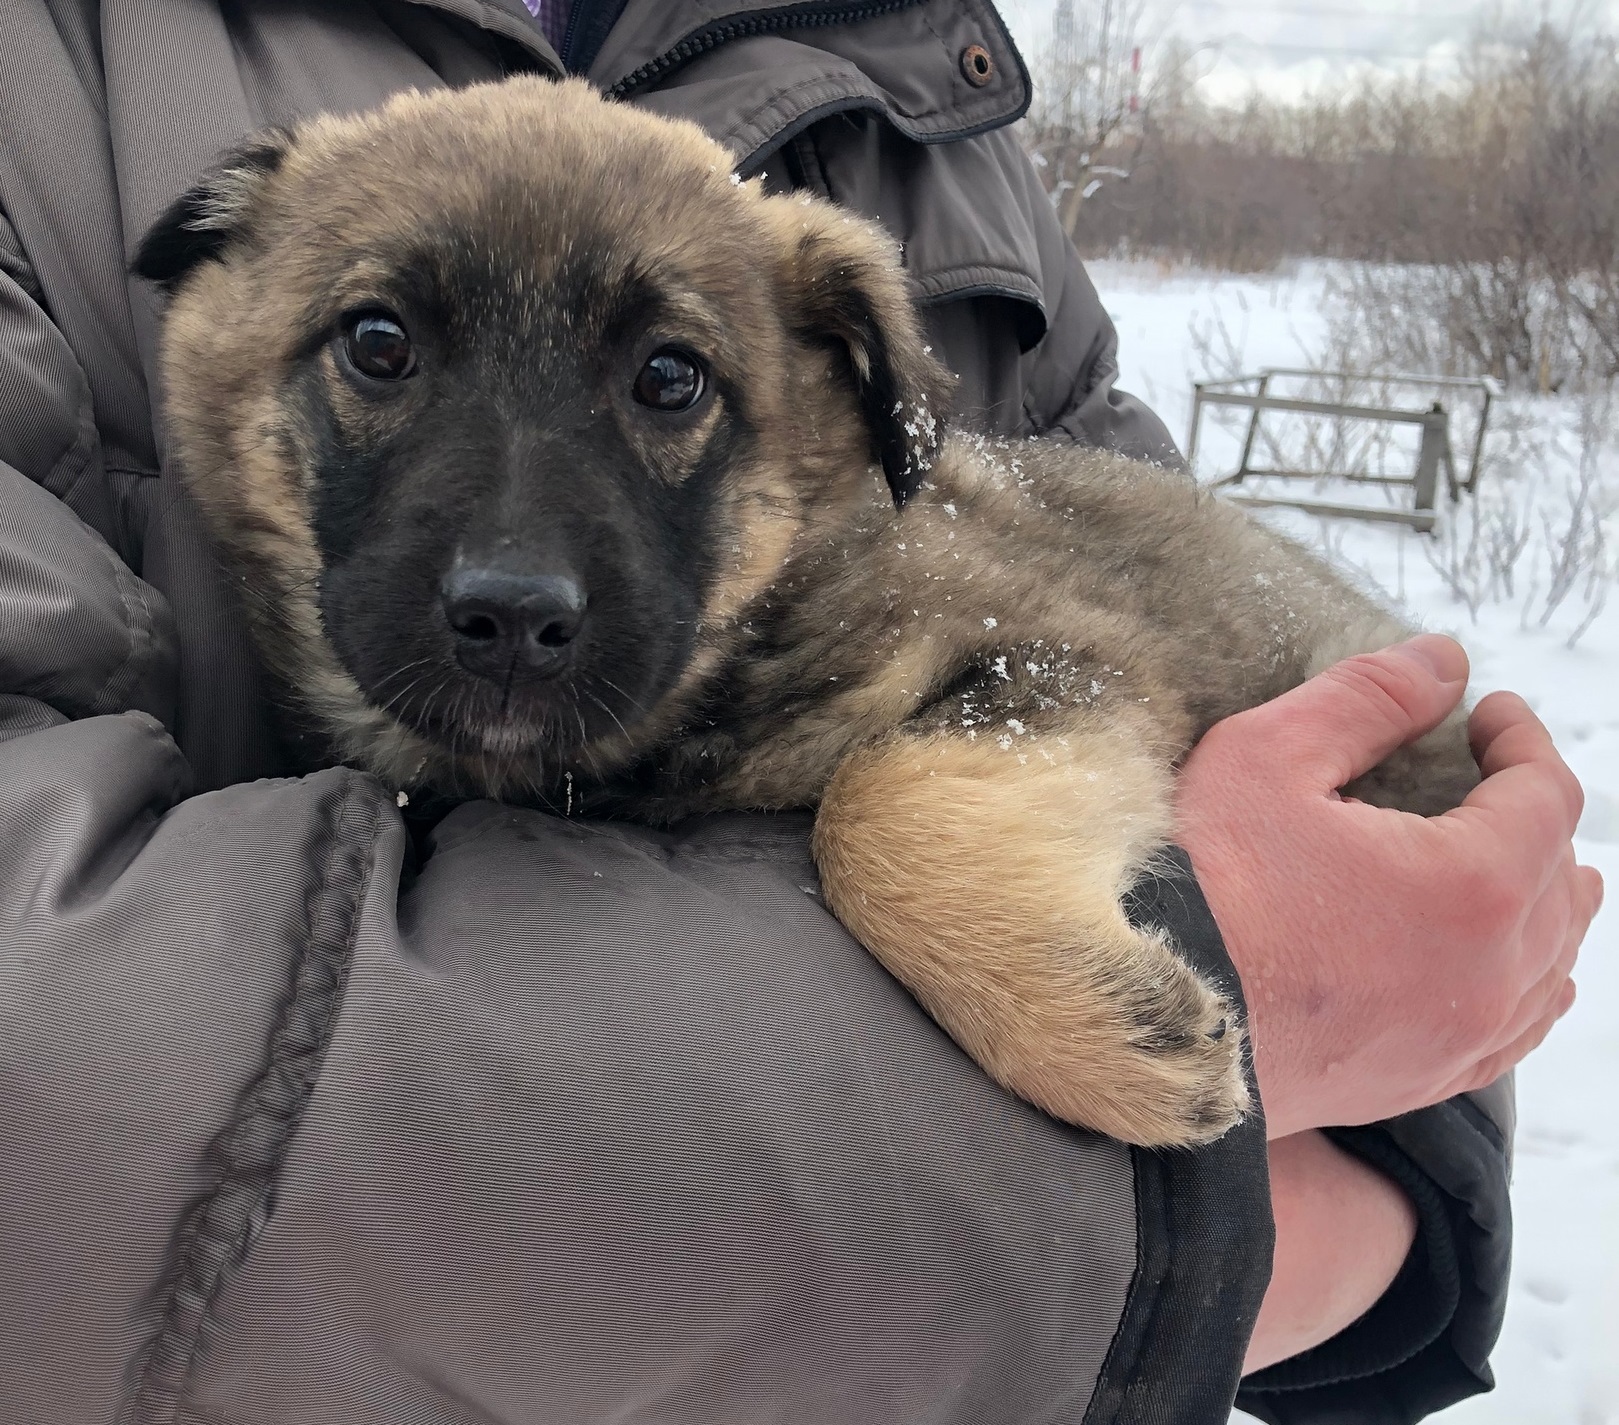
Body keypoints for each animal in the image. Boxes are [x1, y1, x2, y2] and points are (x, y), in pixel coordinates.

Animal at [139, 75, 1483, 1146]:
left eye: (669, 377)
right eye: (377, 343)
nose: (513, 617)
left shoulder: (1058, 649)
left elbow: (879, 796)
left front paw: (1094, 1033)